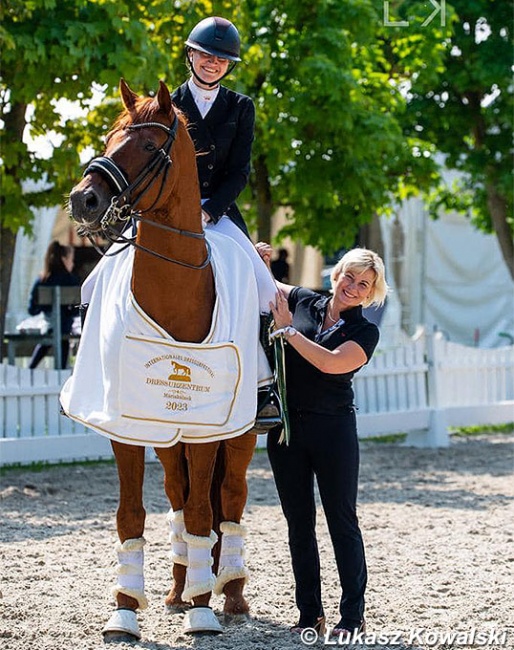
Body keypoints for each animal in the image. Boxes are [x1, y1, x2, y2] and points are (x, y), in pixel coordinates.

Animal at [65, 79, 260, 636]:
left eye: (150, 146)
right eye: (109, 138)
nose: (84, 199)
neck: (177, 290)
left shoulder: (207, 426)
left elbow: (202, 513)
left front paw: (204, 611)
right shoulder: (126, 425)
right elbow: (134, 514)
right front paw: (125, 609)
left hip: (242, 431)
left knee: (230, 499)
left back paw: (229, 592)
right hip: (167, 435)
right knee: (177, 493)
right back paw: (178, 588)